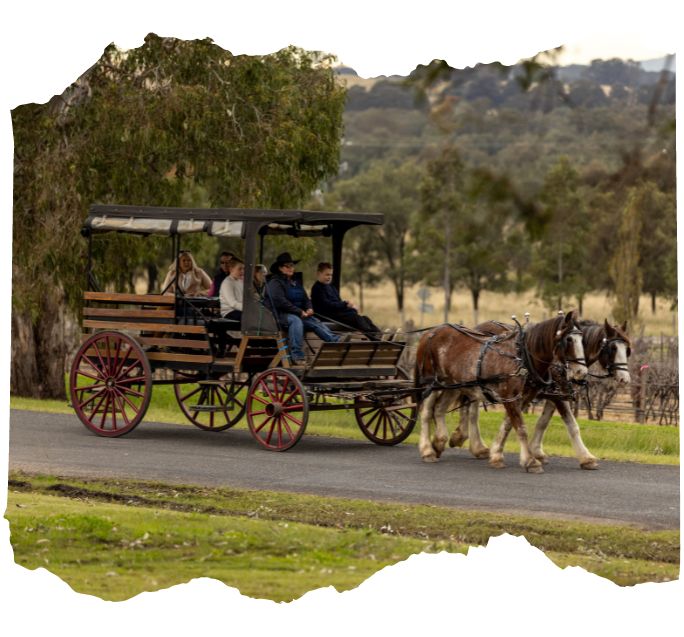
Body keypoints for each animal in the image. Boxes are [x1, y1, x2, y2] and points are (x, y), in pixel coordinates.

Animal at [414, 310, 584, 470]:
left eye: (582, 340)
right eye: (569, 340)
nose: (581, 373)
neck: (522, 357)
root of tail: (430, 332)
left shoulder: (523, 398)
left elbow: (509, 425)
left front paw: (497, 456)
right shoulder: (510, 396)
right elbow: (520, 427)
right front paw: (530, 461)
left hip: (452, 385)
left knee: (439, 409)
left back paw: (439, 443)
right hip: (432, 383)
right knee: (427, 412)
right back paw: (427, 450)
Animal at [452, 318, 632, 468]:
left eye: (627, 350)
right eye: (613, 348)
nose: (625, 379)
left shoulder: (553, 395)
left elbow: (541, 422)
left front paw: (536, 451)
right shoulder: (556, 396)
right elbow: (572, 425)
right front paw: (586, 457)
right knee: (471, 409)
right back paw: (471, 442)